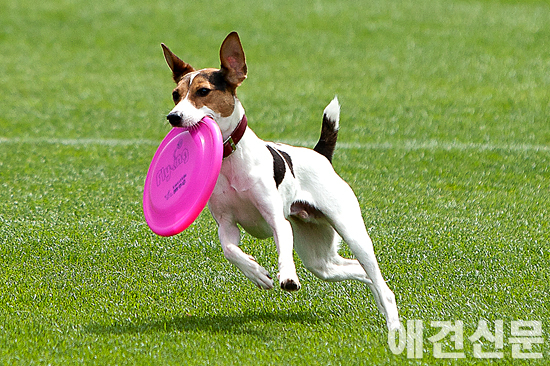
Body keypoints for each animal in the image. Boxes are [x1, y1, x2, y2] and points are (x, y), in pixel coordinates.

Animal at [160, 31, 402, 330]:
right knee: (360, 272)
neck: (231, 159)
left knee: (377, 276)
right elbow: (230, 250)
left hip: (352, 231)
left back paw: (394, 325)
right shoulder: (226, 224)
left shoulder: (277, 219)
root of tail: (321, 154)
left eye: (203, 92)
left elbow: (283, 248)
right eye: (175, 95)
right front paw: (256, 273)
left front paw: (287, 276)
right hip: (319, 259)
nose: (173, 117)